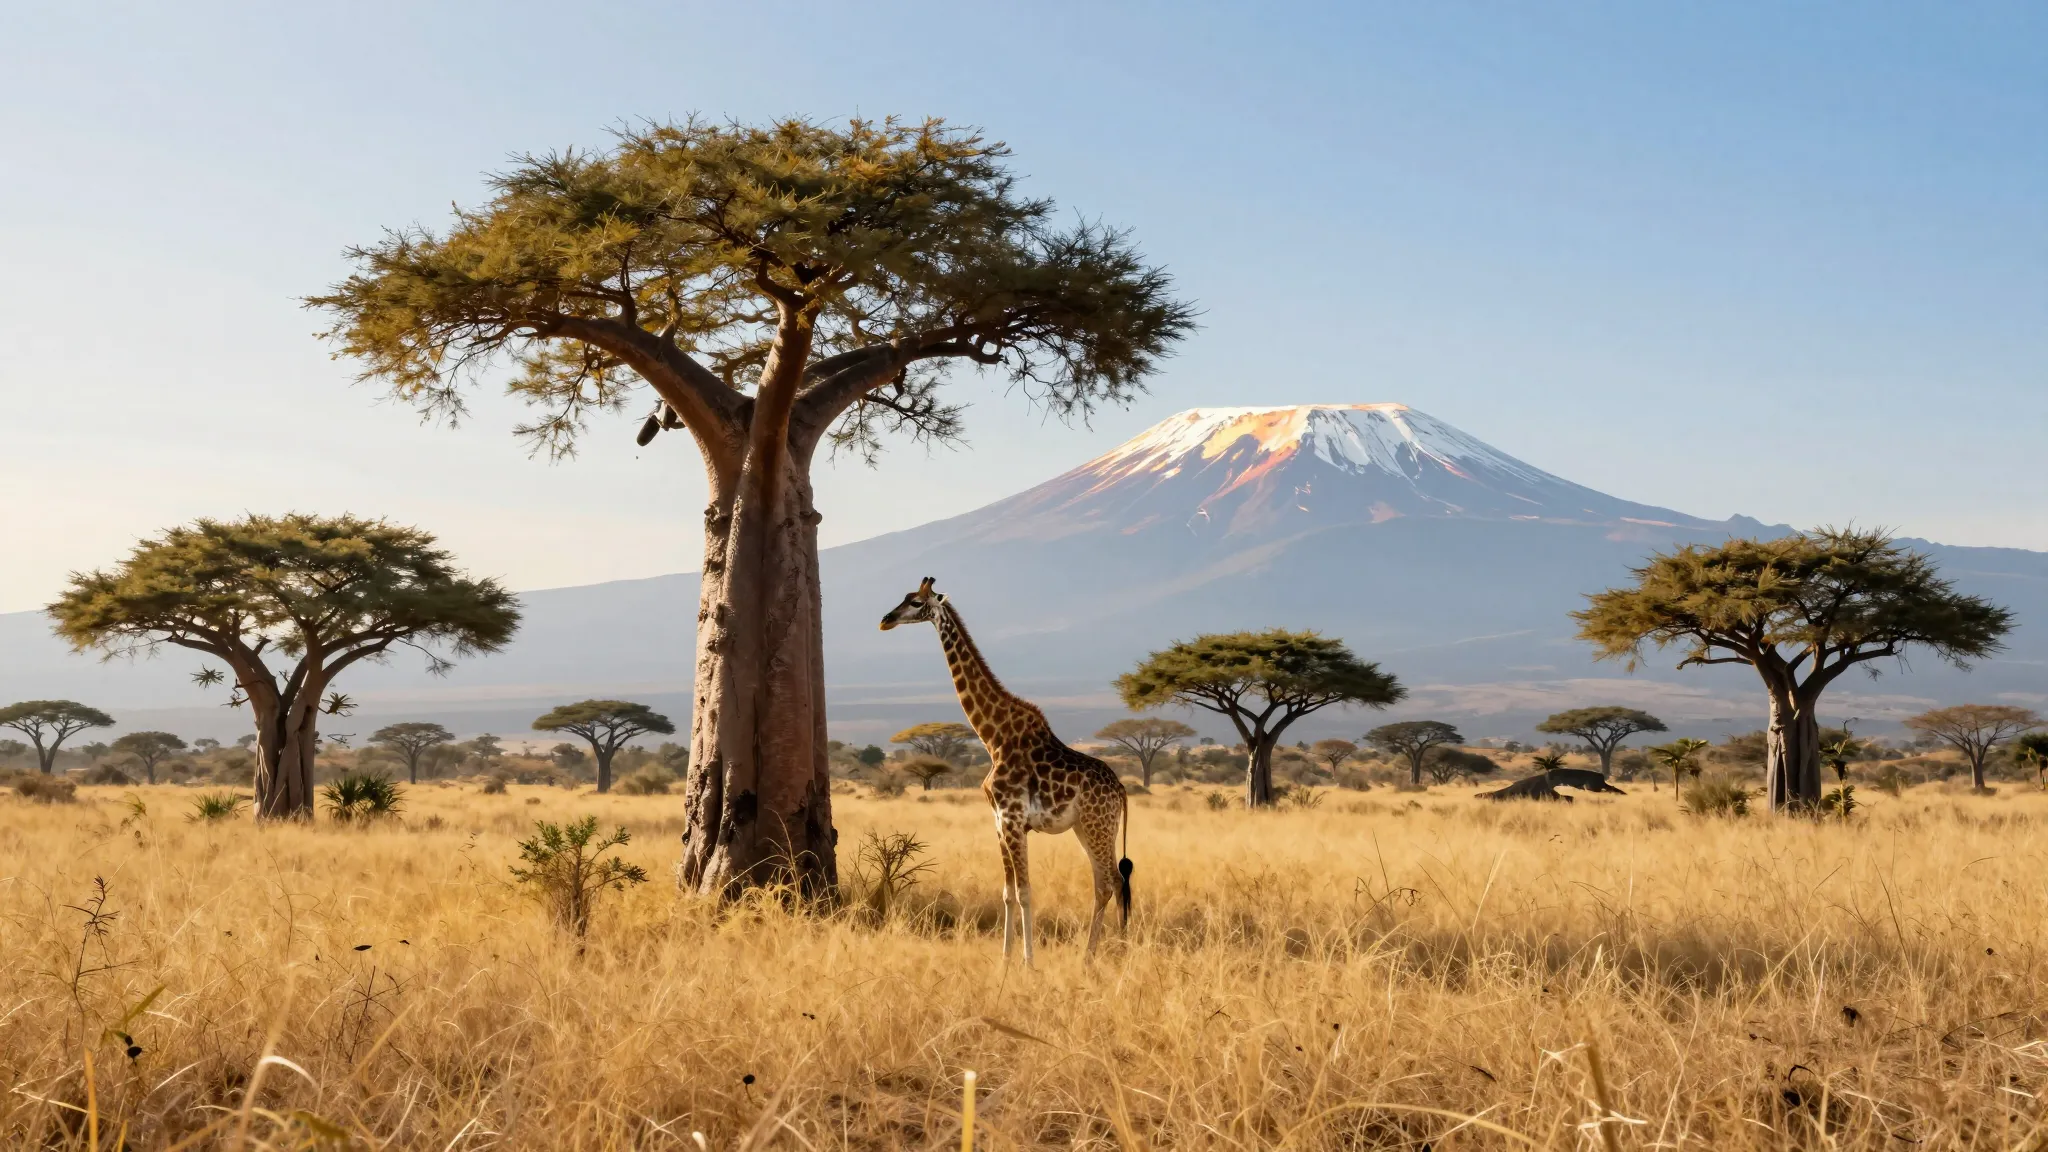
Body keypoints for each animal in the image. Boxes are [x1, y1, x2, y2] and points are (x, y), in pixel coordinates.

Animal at [880, 577, 1132, 964]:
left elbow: (1026, 892)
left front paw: (1029, 963)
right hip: (1089, 827)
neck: (993, 736)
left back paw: (1100, 955)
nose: (886, 620)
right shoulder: (999, 821)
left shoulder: (1014, 820)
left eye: (916, 602)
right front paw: (1005, 961)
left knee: (1109, 882)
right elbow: (1008, 893)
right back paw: (1106, 952)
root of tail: (1120, 790)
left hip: (1096, 825)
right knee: (1109, 881)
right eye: (904, 597)